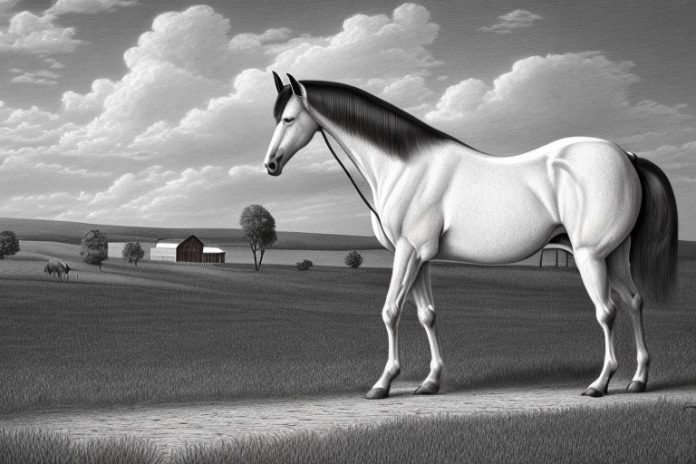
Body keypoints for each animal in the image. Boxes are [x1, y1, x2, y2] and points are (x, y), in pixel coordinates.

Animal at [264, 72, 678, 399]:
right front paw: (430, 382)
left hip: (590, 255)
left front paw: (382, 384)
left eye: (289, 118)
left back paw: (599, 384)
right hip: (613, 254)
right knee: (635, 302)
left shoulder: (408, 252)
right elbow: (427, 315)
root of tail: (626, 156)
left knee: (607, 311)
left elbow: (391, 311)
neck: (405, 167)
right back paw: (639, 380)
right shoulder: (421, 256)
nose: (270, 164)